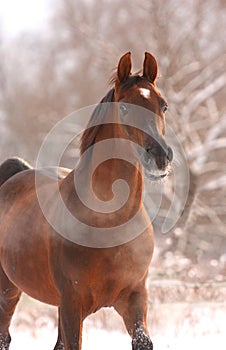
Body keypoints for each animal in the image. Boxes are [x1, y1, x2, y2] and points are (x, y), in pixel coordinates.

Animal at [0, 52, 172, 350]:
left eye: (163, 106)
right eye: (124, 108)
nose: (160, 156)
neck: (109, 223)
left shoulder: (134, 298)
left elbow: (142, 341)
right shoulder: (72, 303)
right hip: (7, 290)